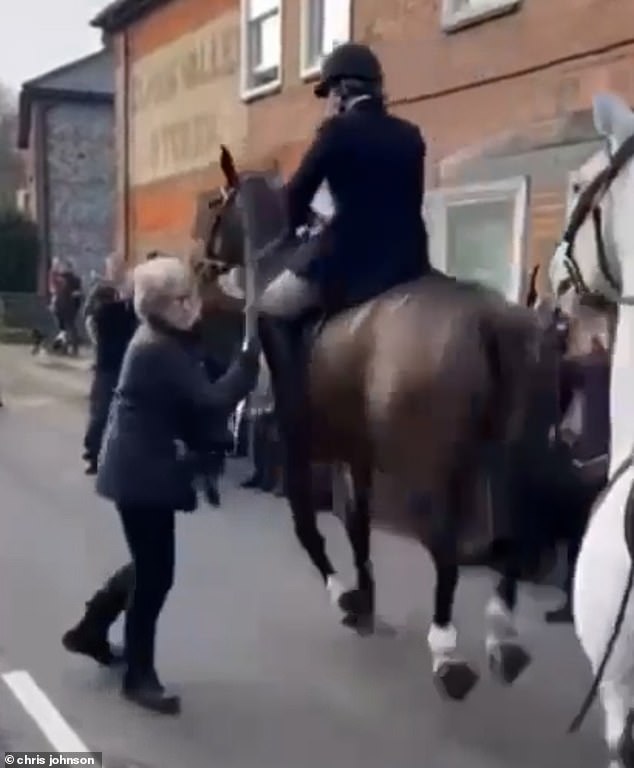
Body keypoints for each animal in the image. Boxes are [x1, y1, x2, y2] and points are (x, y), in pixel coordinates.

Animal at [194, 146, 544, 704]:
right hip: (505, 460)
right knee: (513, 532)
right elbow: (357, 524)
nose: (200, 266)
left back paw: (448, 651)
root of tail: (489, 321)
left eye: (213, 204)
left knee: (447, 547)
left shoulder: (297, 443)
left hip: (429, 469)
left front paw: (345, 597)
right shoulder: (355, 453)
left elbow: (307, 527)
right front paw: (366, 597)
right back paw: (502, 638)